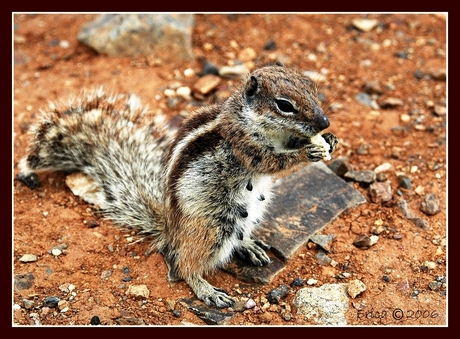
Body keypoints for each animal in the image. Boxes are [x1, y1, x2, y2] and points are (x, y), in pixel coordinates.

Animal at [15, 61, 338, 308]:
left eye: (312, 88)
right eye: (284, 105)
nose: (324, 123)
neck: (249, 119)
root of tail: (170, 228)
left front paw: (330, 141)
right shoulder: (245, 146)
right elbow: (273, 162)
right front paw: (308, 152)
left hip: (248, 214)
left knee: (234, 239)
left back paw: (250, 246)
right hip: (212, 228)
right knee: (185, 264)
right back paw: (207, 290)